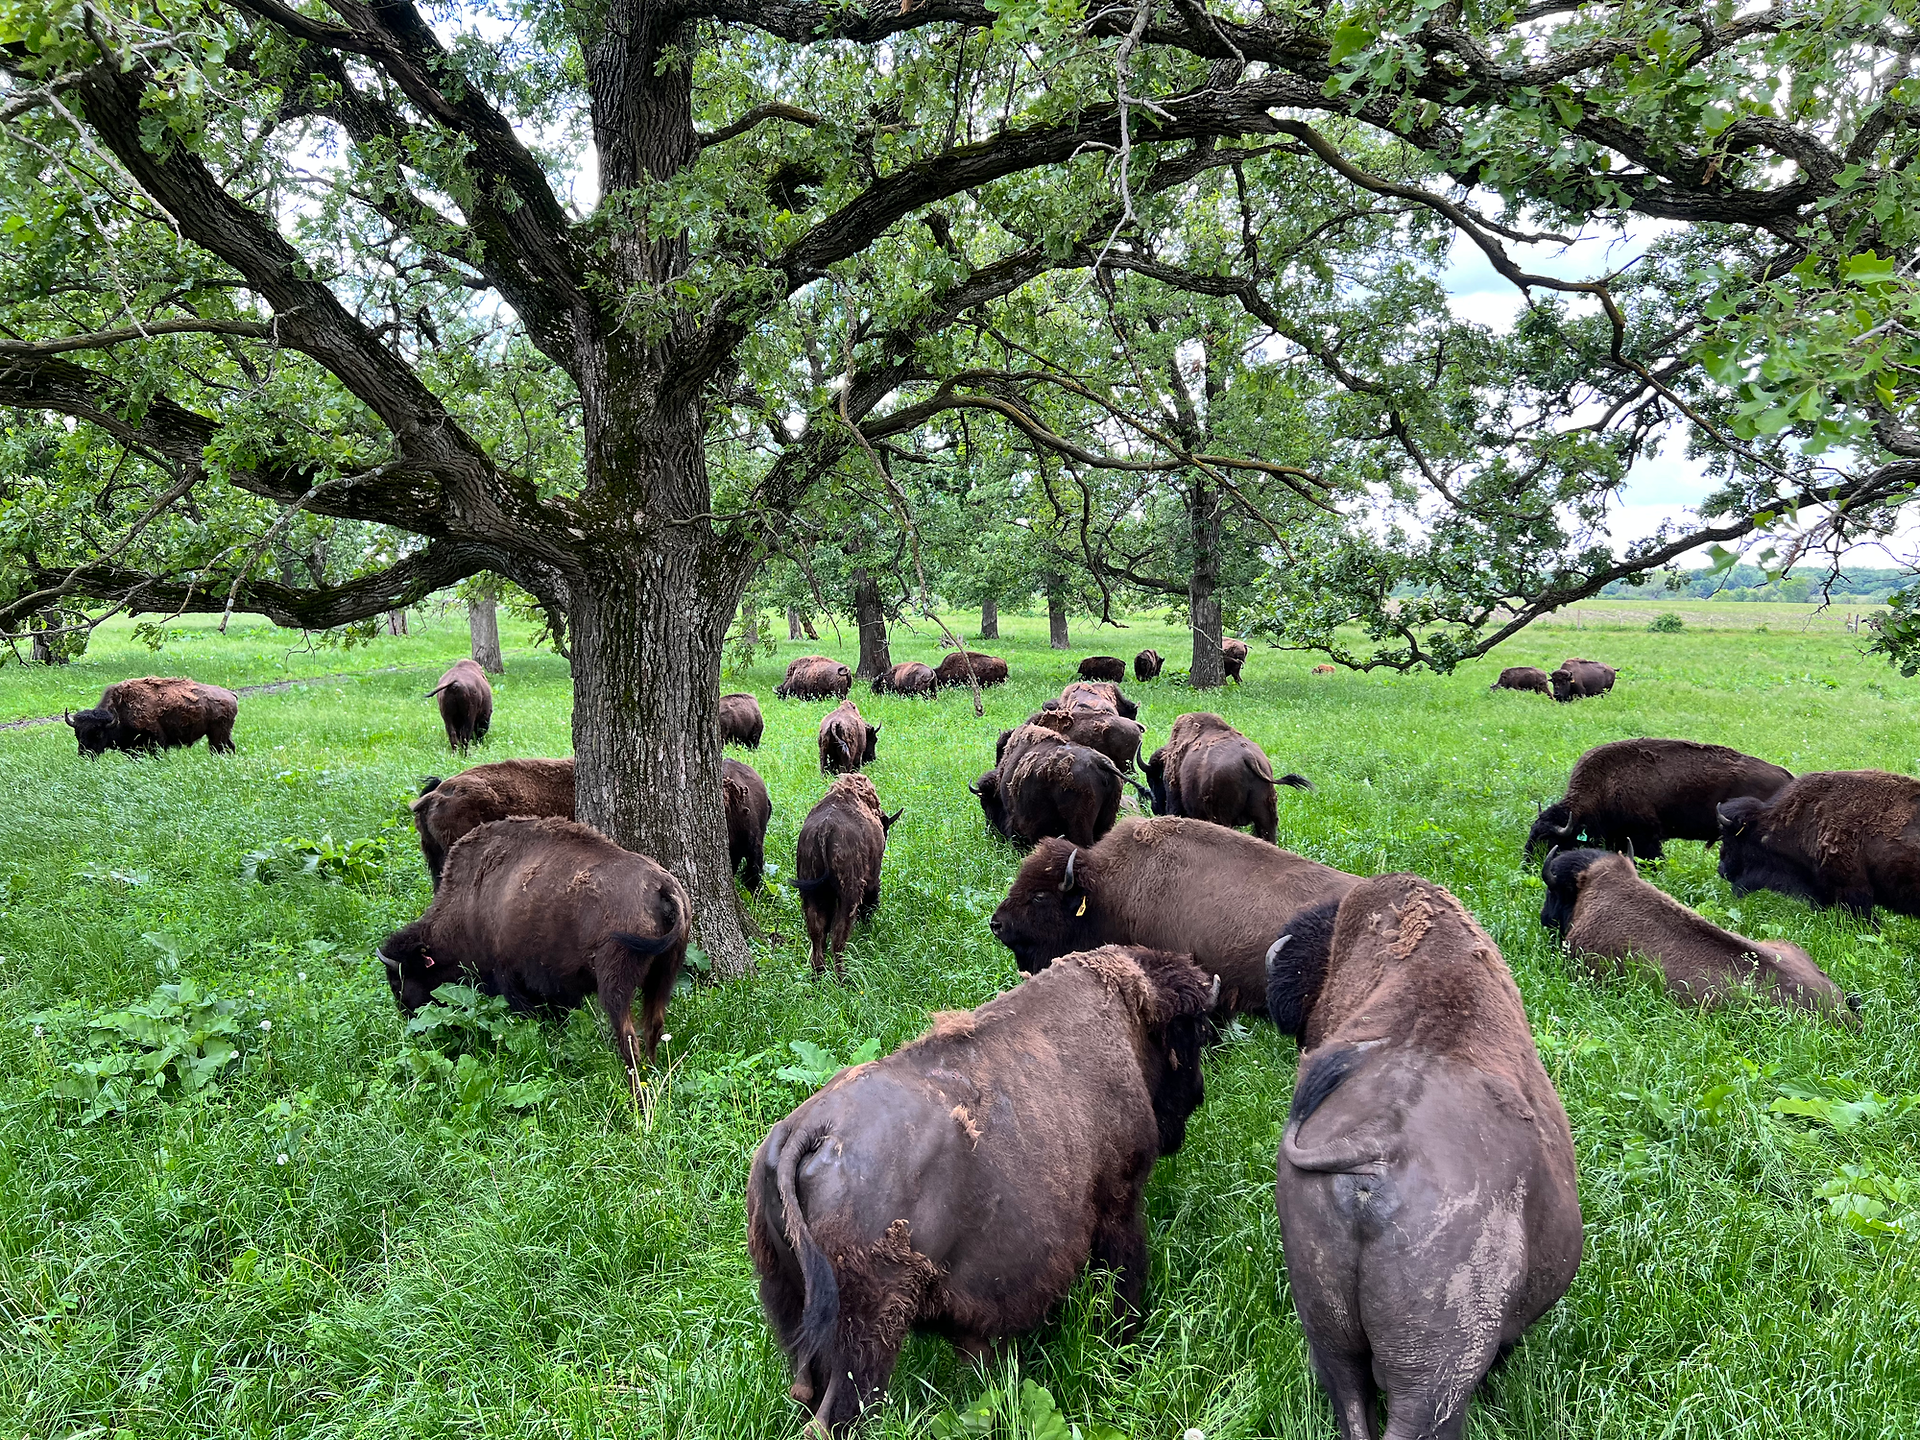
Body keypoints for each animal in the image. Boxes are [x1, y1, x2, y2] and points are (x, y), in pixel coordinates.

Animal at [66, 676, 238, 756]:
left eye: (98, 733)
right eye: (77, 734)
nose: (85, 754)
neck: (119, 712)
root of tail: (230, 694)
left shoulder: (157, 741)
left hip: (217, 735)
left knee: (219, 749)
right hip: (222, 734)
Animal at [378, 816, 689, 1085]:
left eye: (397, 982)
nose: (410, 1022)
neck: (471, 898)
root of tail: (663, 886)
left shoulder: (511, 978)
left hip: (616, 984)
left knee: (628, 1037)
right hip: (664, 975)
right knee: (654, 1025)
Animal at [748, 944, 1214, 1437]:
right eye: (1196, 1030)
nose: (1198, 1094)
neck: (1131, 1019)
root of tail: (809, 1130)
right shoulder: (1121, 1205)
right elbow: (1127, 1277)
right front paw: (1127, 1343)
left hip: (789, 1306)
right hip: (866, 1336)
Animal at [795, 774, 903, 979]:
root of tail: (824, 830)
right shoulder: (872, 880)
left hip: (810, 894)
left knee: (817, 935)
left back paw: (818, 976)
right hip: (848, 895)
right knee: (838, 937)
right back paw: (843, 978)